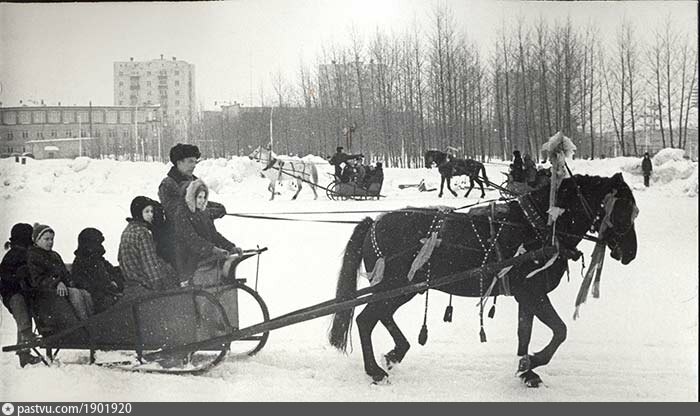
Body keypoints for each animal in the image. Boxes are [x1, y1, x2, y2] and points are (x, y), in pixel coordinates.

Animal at [329, 172, 639, 386]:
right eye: (624, 209)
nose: (631, 253)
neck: (539, 226)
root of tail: (374, 222)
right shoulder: (532, 292)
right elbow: (560, 331)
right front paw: (533, 362)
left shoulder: (527, 295)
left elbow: (524, 332)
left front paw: (526, 370)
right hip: (395, 285)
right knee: (365, 320)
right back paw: (375, 371)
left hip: (404, 288)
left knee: (381, 316)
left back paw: (395, 353)